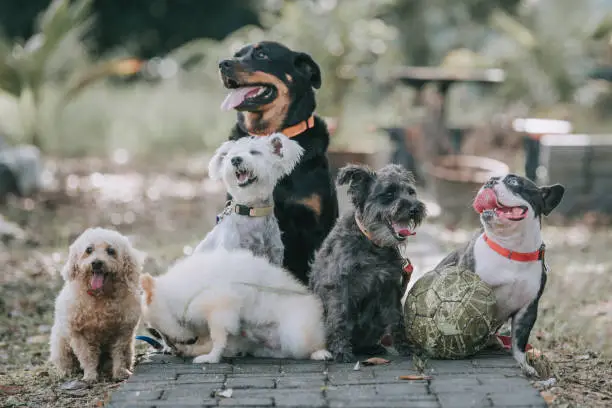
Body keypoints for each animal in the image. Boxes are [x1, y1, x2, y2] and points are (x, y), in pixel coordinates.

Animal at [140, 249, 330, 364]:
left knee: (306, 347)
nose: (171, 347)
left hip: (297, 334)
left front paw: (211, 357)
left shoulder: (220, 308)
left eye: (160, 332)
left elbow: (217, 339)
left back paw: (320, 353)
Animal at [310, 164, 426, 362]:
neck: (372, 243)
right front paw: (341, 350)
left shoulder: (390, 287)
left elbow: (397, 319)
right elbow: (339, 317)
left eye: (411, 192)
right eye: (389, 194)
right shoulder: (339, 284)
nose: (414, 209)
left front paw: (405, 347)